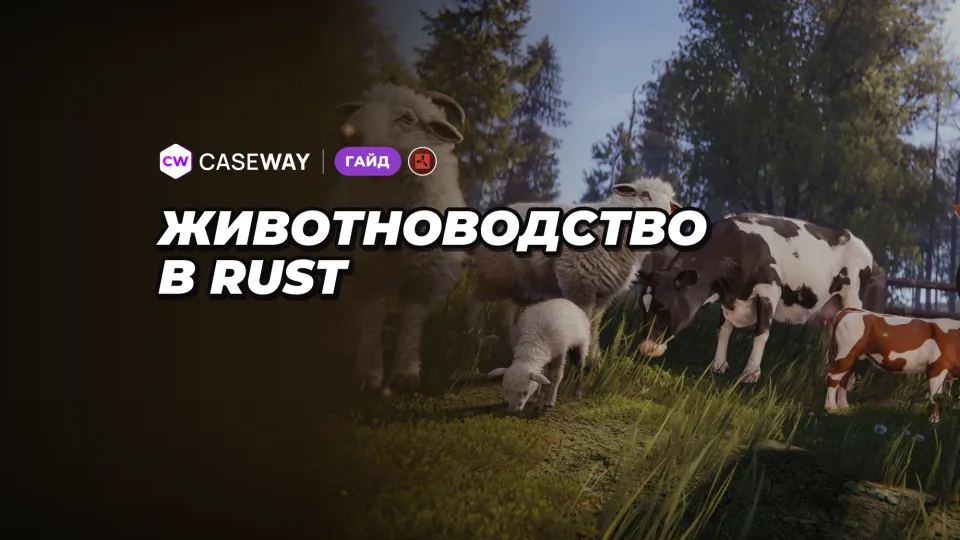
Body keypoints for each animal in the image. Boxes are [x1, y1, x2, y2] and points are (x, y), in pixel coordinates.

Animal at [329, 83, 468, 394]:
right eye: (362, 109)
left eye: (407, 118)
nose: (349, 132)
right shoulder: (367, 270)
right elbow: (372, 316)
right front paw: (368, 373)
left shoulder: (426, 272)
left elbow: (412, 319)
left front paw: (405, 374)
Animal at [635, 213, 884, 383]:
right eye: (643, 308)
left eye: (664, 308)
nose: (644, 349)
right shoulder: (729, 297)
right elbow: (723, 329)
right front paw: (719, 364)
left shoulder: (769, 290)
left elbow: (761, 332)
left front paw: (751, 373)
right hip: (831, 308)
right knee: (831, 336)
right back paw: (825, 374)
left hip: (853, 300)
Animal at [824, 308, 960, 423]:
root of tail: (852, 311)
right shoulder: (937, 367)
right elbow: (935, 396)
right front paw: (934, 421)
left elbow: (945, 397)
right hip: (846, 352)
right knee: (834, 375)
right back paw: (831, 408)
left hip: (855, 358)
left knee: (845, 377)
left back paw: (843, 407)